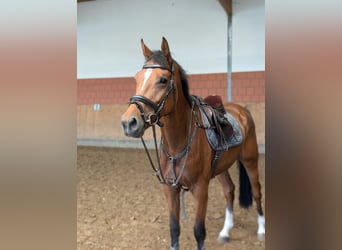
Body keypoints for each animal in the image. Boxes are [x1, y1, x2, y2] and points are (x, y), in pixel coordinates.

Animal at [121, 37, 266, 250]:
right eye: (136, 78)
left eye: (163, 80)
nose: (129, 123)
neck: (178, 144)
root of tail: (242, 110)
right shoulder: (170, 189)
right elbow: (174, 230)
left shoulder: (200, 189)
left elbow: (199, 232)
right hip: (221, 167)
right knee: (229, 191)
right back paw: (225, 232)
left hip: (250, 159)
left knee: (256, 191)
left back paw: (261, 230)